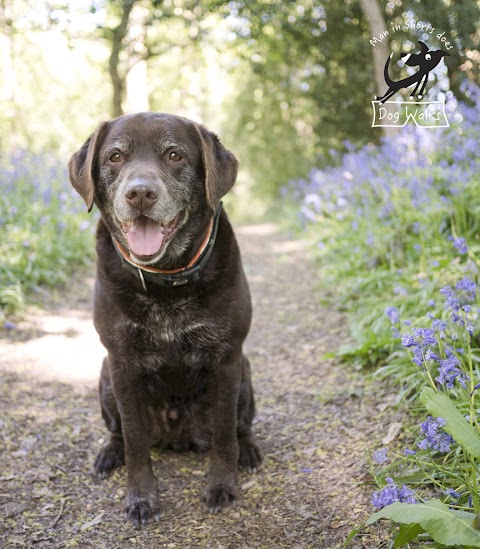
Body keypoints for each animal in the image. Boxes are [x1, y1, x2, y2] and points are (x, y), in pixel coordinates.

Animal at [68, 111, 262, 528]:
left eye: (174, 155)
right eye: (115, 157)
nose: (140, 193)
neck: (165, 280)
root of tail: (177, 435)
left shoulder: (227, 360)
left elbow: (224, 435)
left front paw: (221, 485)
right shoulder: (121, 365)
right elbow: (136, 441)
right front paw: (141, 497)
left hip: (246, 374)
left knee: (241, 426)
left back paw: (250, 450)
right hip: (104, 379)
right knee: (119, 434)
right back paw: (109, 454)